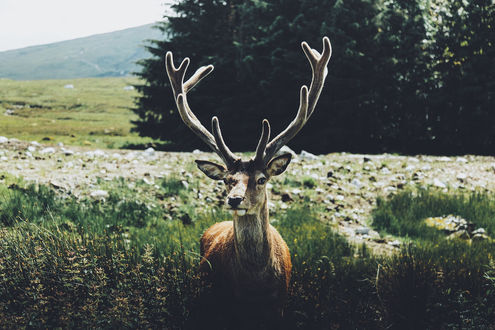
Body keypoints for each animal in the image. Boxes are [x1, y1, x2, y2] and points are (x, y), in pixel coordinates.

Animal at [165, 36, 332, 324]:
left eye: (262, 179)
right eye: (227, 179)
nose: (235, 200)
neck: (254, 287)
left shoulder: (279, 305)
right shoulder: (226, 306)